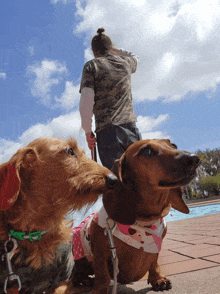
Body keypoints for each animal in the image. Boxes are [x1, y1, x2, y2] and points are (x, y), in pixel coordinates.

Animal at [73, 139, 199, 292]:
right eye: (147, 151)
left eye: (173, 145)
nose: (194, 159)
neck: (143, 223)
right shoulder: (99, 252)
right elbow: (102, 273)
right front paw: (100, 289)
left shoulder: (156, 246)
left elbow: (154, 261)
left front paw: (158, 278)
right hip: (80, 261)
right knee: (76, 276)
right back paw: (86, 281)